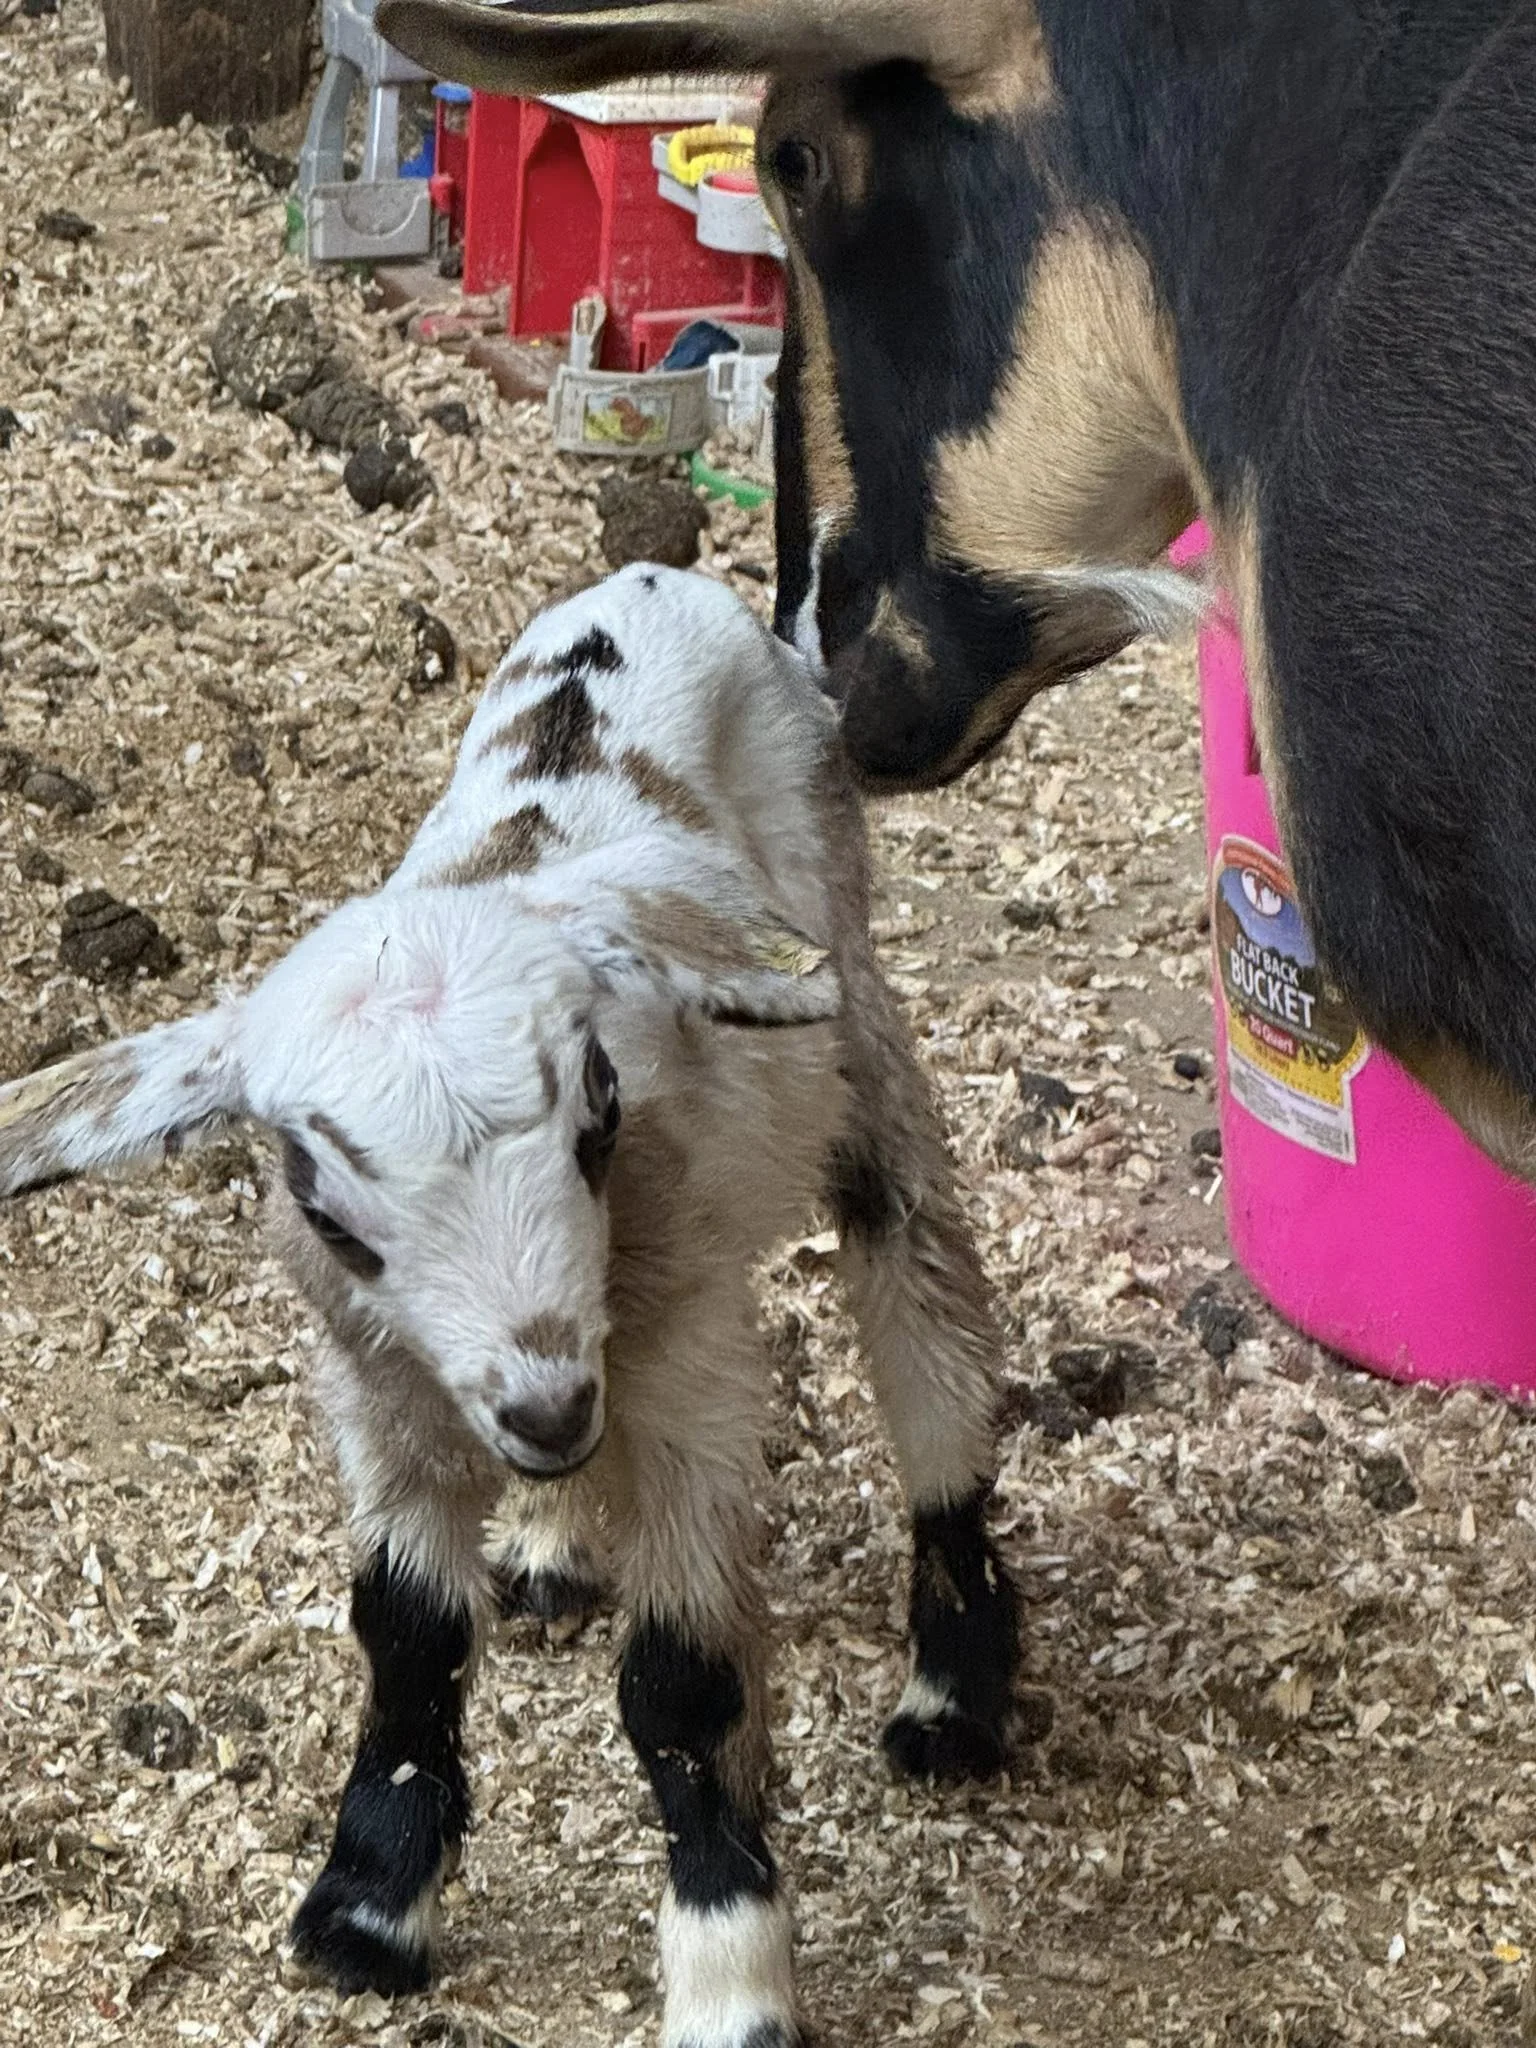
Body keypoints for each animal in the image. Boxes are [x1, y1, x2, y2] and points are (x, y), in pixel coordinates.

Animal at [0, 565, 1017, 2048]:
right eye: (323, 1200)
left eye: (599, 1111)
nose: (546, 1408)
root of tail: (655, 583)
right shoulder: (380, 1387)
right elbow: (408, 1632)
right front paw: (367, 1905)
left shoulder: (692, 1367)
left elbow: (682, 1679)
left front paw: (729, 1976)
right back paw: (546, 1545)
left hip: (848, 1003)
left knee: (925, 1303)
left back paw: (952, 1698)